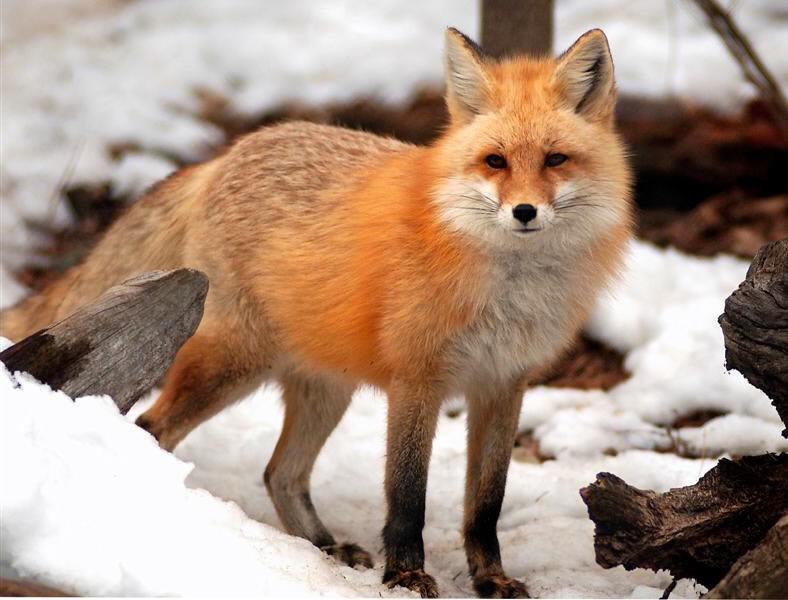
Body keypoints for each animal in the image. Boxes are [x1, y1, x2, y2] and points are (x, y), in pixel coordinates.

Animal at [1, 28, 632, 598]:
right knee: (152, 429)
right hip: (232, 364)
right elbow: (407, 496)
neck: (508, 290)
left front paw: (490, 579)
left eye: (555, 160)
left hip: (327, 388)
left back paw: (323, 546)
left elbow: (485, 503)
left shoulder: (503, 385)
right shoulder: (417, 381)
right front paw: (405, 577)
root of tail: (228, 155)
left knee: (280, 473)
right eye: (495, 162)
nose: (524, 212)